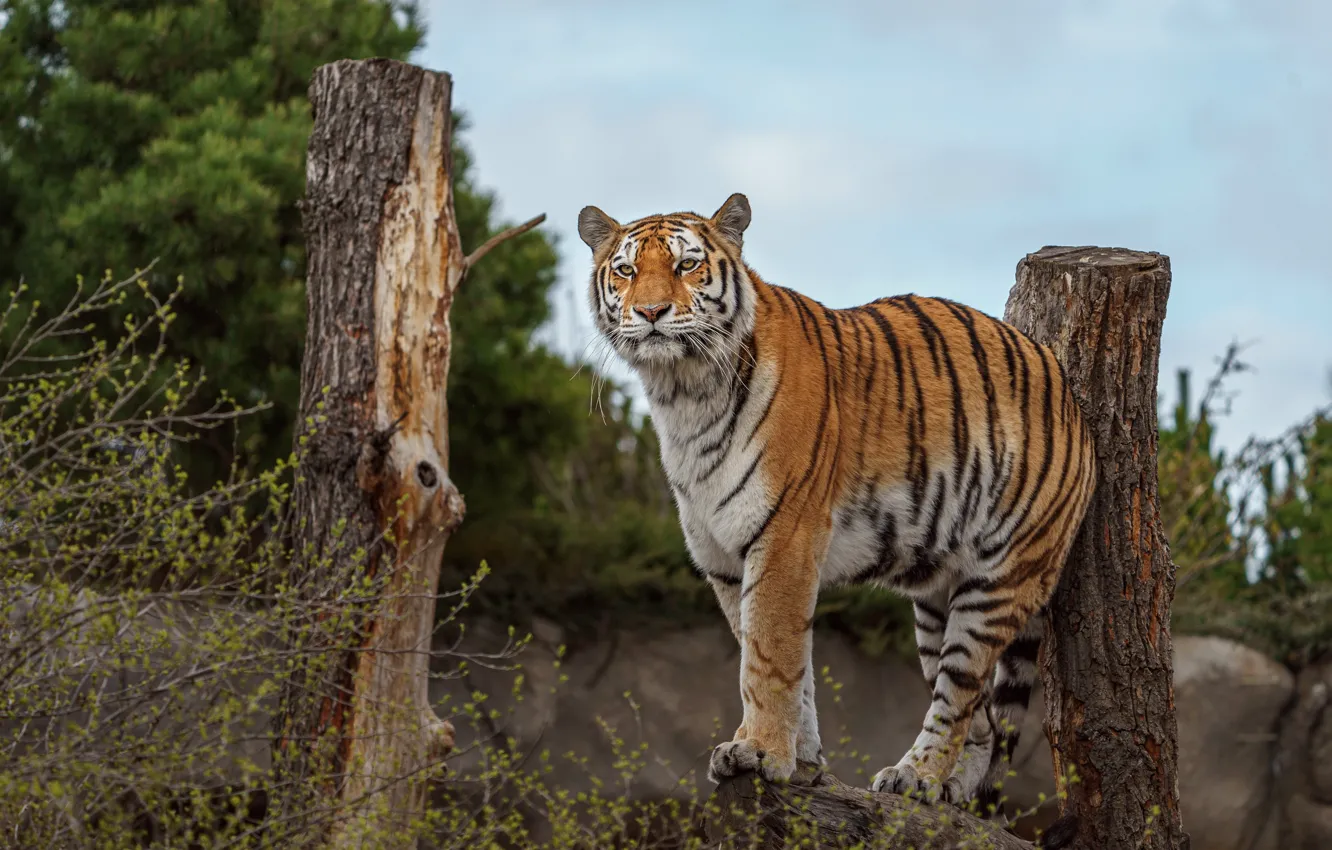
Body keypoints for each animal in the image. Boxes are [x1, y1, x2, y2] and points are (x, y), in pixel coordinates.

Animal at [576, 192, 1097, 816]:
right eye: (626, 271)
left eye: (686, 265)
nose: (651, 312)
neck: (682, 392)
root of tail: (1069, 394)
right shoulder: (722, 559)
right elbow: (777, 661)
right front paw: (799, 762)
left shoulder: (784, 538)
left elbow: (769, 657)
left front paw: (759, 752)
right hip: (936, 600)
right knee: (982, 720)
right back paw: (947, 792)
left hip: (998, 582)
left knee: (959, 695)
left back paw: (915, 777)